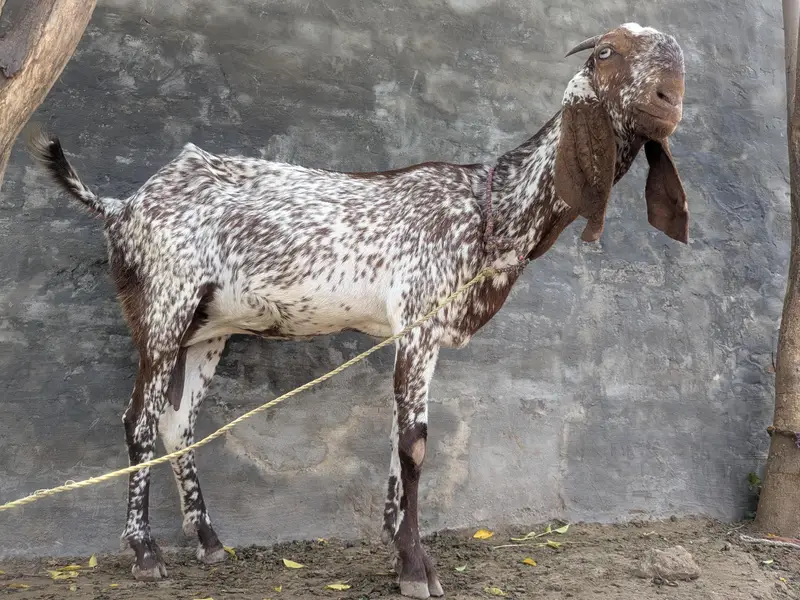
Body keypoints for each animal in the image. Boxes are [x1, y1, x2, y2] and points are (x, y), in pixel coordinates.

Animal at [29, 22, 688, 599]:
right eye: (605, 53)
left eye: (680, 59)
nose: (669, 99)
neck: (491, 206)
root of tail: (121, 206)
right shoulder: (419, 316)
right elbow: (416, 443)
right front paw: (418, 568)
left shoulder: (417, 333)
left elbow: (400, 437)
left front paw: (401, 552)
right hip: (164, 308)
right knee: (138, 422)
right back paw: (145, 552)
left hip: (207, 326)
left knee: (176, 424)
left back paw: (210, 542)